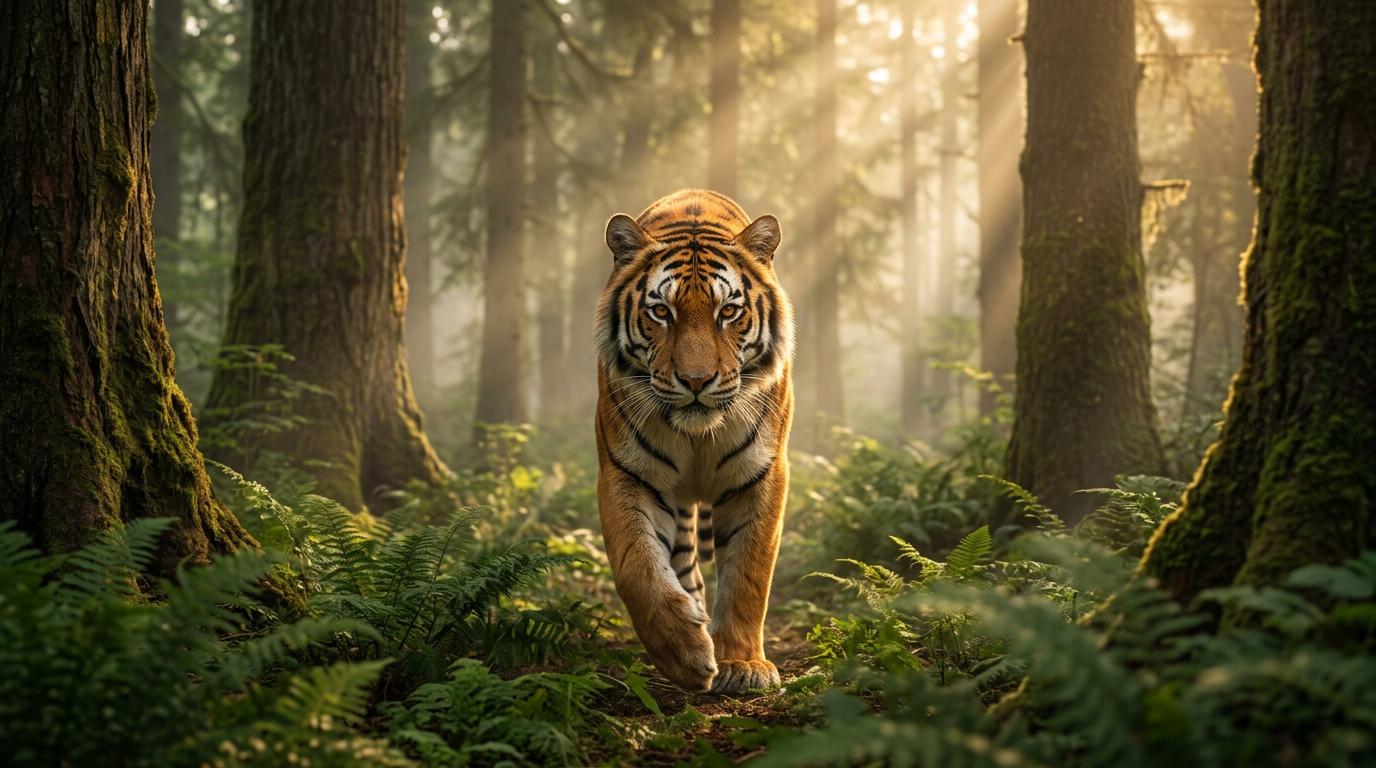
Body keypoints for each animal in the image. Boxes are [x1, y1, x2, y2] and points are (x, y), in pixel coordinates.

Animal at [594, 189, 794, 693]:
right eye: (661, 312)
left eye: (729, 312)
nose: (697, 381)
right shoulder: (626, 473)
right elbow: (637, 567)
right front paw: (684, 654)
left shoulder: (762, 475)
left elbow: (748, 575)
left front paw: (742, 664)